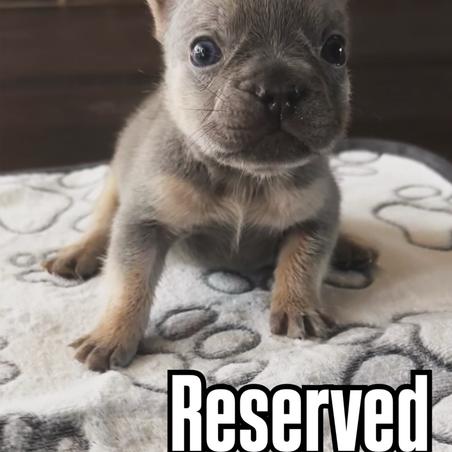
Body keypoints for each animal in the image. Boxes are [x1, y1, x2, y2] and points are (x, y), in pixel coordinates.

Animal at [44, 0, 375, 372]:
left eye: (336, 49)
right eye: (202, 52)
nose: (279, 90)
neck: (244, 176)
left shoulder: (318, 211)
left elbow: (303, 261)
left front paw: (297, 305)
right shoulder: (143, 220)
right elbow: (130, 281)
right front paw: (112, 333)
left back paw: (349, 246)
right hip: (114, 183)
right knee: (102, 222)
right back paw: (78, 253)